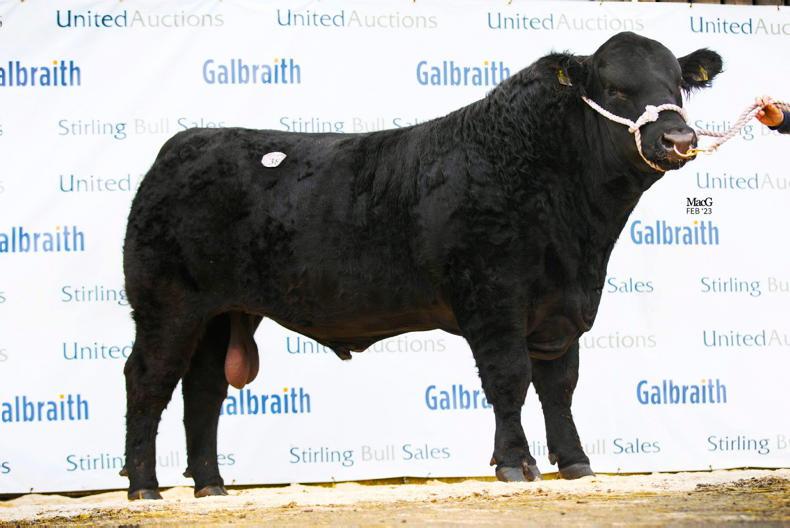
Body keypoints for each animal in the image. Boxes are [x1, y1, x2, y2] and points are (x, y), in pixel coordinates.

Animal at [121, 32, 722, 499]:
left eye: (677, 87)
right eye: (616, 89)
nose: (678, 137)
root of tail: (187, 142)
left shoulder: (561, 309)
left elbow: (560, 385)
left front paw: (575, 462)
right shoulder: (492, 297)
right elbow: (510, 378)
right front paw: (514, 462)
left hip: (221, 312)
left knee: (203, 391)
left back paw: (210, 485)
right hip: (166, 304)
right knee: (147, 380)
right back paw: (144, 486)